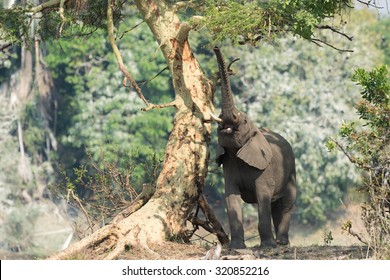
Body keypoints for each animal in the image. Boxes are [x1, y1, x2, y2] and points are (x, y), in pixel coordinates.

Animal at [212, 46, 298, 249]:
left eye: (243, 121)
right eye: (218, 126)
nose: (216, 47)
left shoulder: (264, 169)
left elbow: (263, 196)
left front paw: (267, 246)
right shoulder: (229, 165)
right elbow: (231, 197)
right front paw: (236, 247)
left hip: (291, 171)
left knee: (286, 204)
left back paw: (281, 243)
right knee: (276, 206)